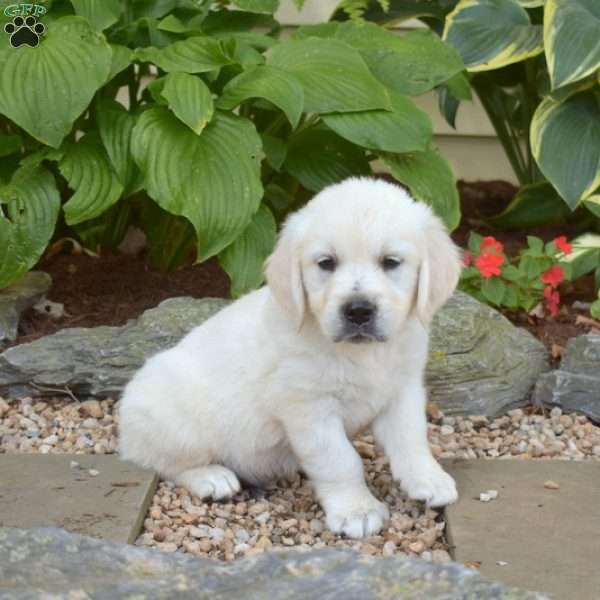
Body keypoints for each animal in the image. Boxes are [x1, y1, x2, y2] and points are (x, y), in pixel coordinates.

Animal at [119, 176, 462, 536]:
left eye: (391, 262)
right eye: (326, 263)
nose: (358, 311)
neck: (362, 353)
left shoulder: (402, 389)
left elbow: (411, 438)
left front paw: (428, 479)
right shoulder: (309, 407)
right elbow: (340, 460)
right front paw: (357, 510)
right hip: (174, 423)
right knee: (162, 461)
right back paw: (211, 477)